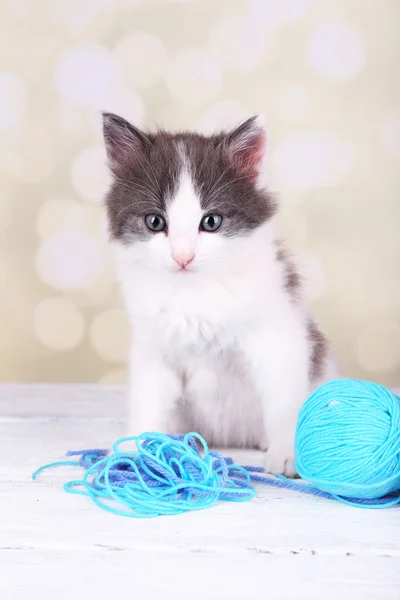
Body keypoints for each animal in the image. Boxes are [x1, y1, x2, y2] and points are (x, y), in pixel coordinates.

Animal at [102, 112, 338, 476]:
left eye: (211, 222)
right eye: (155, 222)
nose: (183, 256)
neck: (194, 294)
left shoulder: (277, 336)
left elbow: (284, 398)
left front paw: (287, 452)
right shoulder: (152, 346)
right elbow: (148, 398)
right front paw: (134, 449)